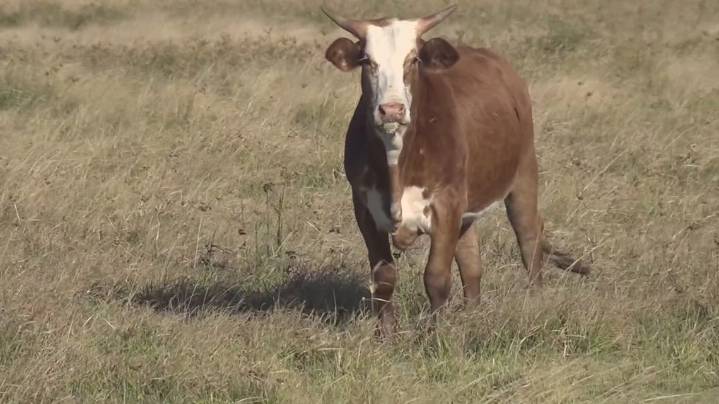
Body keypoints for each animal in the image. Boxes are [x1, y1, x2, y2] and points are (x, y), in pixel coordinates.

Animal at [322, 5, 590, 336]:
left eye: (413, 60)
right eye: (367, 61)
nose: (392, 110)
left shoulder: (446, 204)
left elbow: (436, 277)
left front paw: (435, 334)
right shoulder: (364, 207)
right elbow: (383, 277)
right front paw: (386, 335)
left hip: (524, 173)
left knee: (529, 237)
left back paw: (536, 301)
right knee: (471, 259)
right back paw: (472, 312)